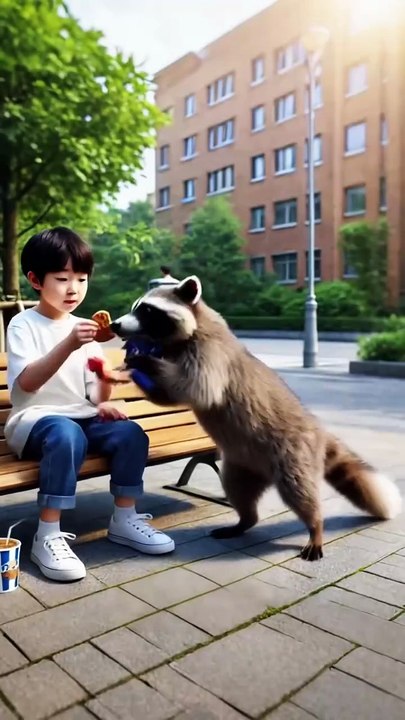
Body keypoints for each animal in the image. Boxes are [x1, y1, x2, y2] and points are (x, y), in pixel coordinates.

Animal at [110, 276, 402, 560]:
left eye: (147, 310)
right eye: (136, 307)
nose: (115, 324)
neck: (187, 331)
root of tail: (318, 430)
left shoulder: (211, 353)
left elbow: (194, 387)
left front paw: (144, 361)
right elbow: (168, 396)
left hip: (293, 454)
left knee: (301, 492)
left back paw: (315, 526)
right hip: (242, 464)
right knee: (238, 490)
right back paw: (244, 521)